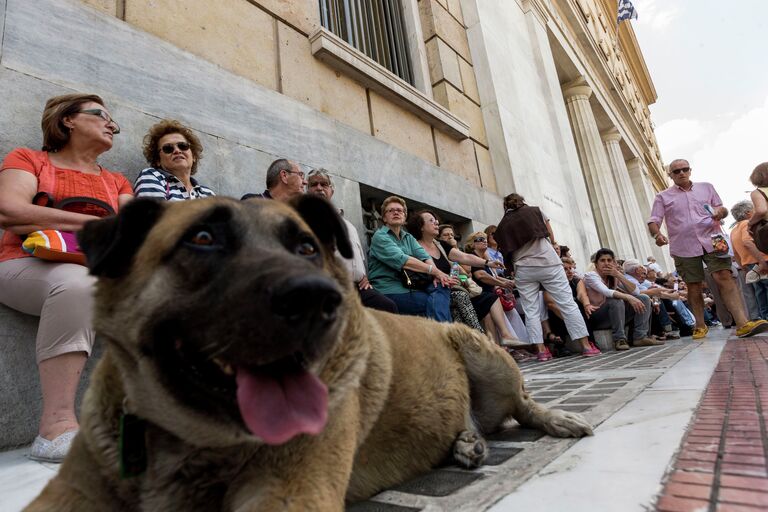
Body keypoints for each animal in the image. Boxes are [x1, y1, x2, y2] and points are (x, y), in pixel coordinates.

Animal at [22, 196, 588, 512]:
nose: (317, 299)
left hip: (481, 352)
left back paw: (555, 419)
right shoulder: (72, 490)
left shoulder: (290, 487)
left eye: (307, 247)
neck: (192, 440)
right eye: (202, 238)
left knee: (521, 406)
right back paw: (467, 441)